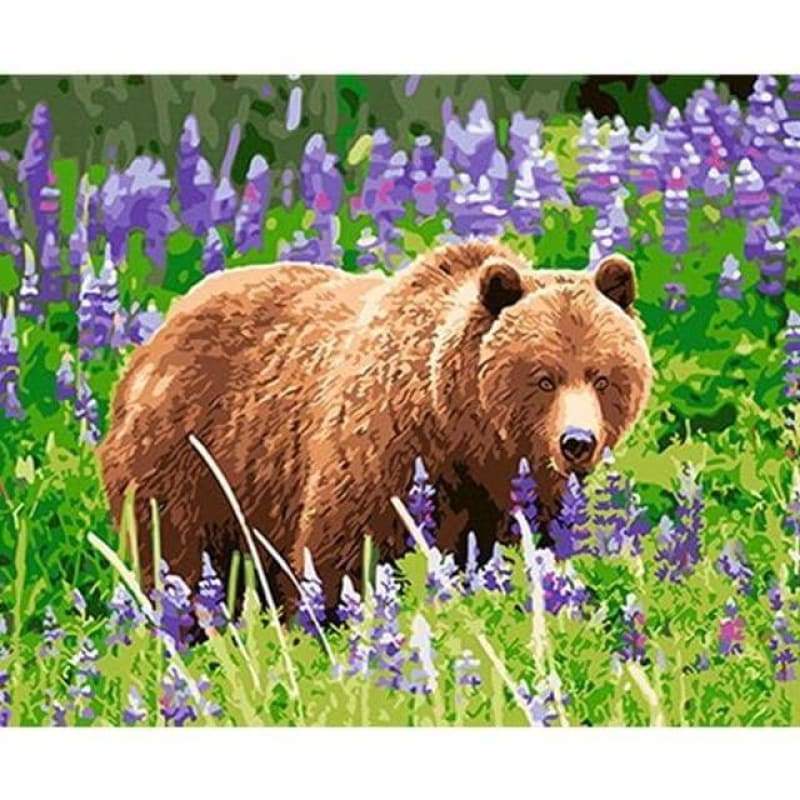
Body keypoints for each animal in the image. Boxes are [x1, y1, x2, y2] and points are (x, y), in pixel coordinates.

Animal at [98, 239, 653, 613]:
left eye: (602, 376)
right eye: (543, 378)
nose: (577, 442)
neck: (462, 436)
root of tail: (155, 336)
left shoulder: (525, 494)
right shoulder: (385, 459)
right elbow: (340, 557)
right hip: (191, 461)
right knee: (176, 560)